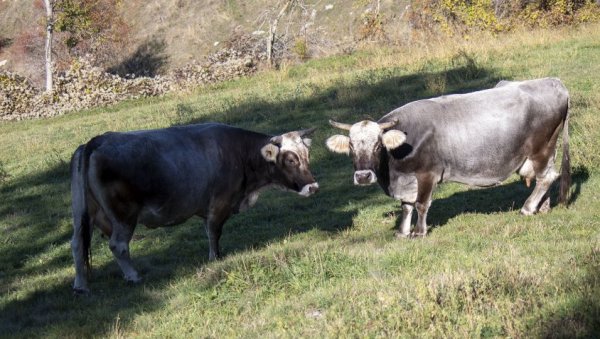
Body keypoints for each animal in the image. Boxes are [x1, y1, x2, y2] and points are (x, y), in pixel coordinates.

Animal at [70, 123, 318, 294]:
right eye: (290, 159)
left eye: (306, 156)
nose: (313, 187)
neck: (239, 153)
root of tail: (98, 140)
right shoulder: (219, 204)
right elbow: (214, 232)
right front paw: (215, 258)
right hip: (124, 216)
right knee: (118, 246)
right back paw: (133, 276)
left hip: (83, 214)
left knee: (77, 244)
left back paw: (81, 285)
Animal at [326, 78, 568, 239]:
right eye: (351, 146)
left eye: (378, 144)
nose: (363, 176)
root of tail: (554, 82)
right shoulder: (408, 181)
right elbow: (406, 206)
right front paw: (402, 232)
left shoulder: (427, 173)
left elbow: (421, 204)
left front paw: (419, 232)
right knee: (542, 177)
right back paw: (542, 208)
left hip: (541, 149)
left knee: (547, 177)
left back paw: (527, 208)